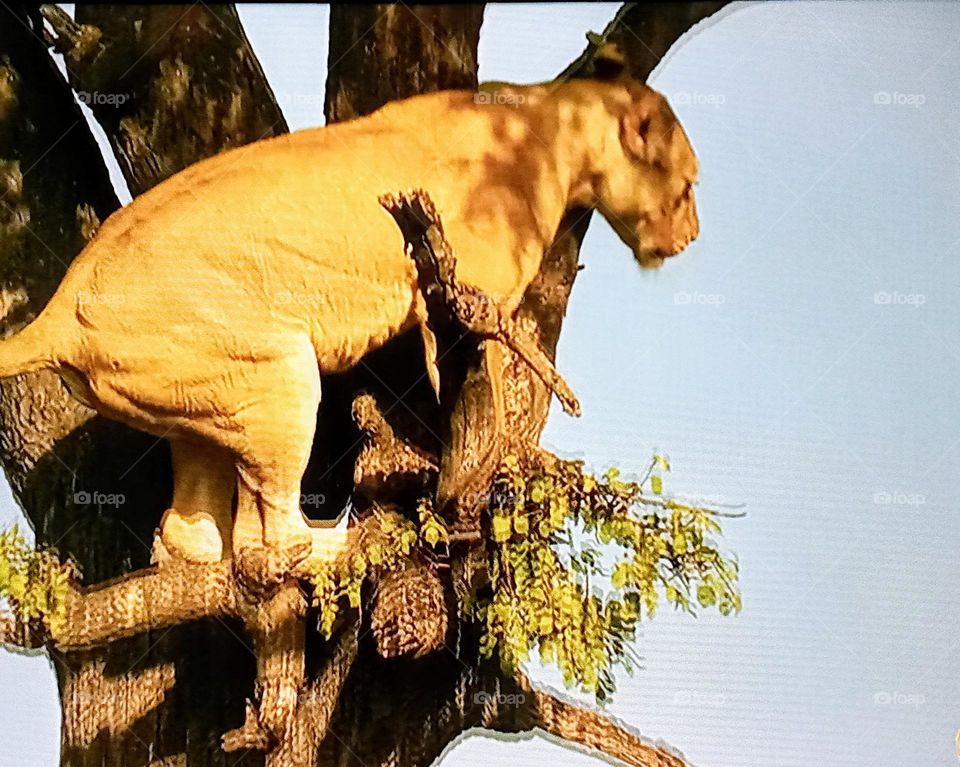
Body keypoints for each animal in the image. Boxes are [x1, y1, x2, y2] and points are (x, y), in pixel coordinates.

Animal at [0, 76, 699, 578]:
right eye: (689, 185)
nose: (691, 237)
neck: (552, 127)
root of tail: (60, 306)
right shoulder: (464, 305)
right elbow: (486, 393)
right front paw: (504, 460)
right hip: (275, 374)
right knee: (271, 534)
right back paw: (342, 540)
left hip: (200, 402)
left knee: (199, 530)